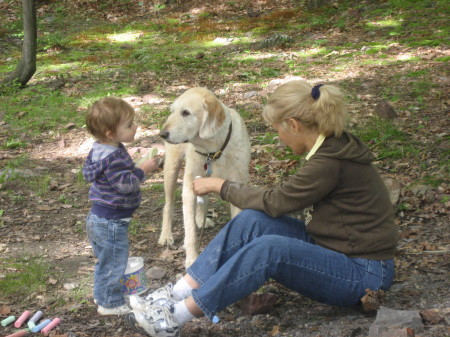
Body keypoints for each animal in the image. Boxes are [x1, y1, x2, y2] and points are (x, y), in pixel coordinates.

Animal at [158, 88, 250, 266]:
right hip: (171, 168)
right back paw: (166, 235)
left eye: (186, 112)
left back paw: (201, 219)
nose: (162, 134)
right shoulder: (188, 189)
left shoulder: (237, 184)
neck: (214, 150)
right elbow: (190, 233)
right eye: (173, 111)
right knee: (168, 205)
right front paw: (192, 259)